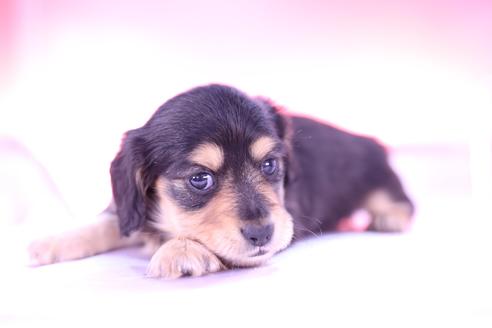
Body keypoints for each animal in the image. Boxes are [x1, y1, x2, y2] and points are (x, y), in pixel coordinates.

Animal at [28, 85, 414, 280]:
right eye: (200, 179)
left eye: (270, 164)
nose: (262, 234)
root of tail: (369, 141)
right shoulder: (130, 211)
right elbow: (105, 224)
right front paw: (49, 243)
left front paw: (179, 251)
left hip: (379, 178)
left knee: (402, 200)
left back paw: (390, 217)